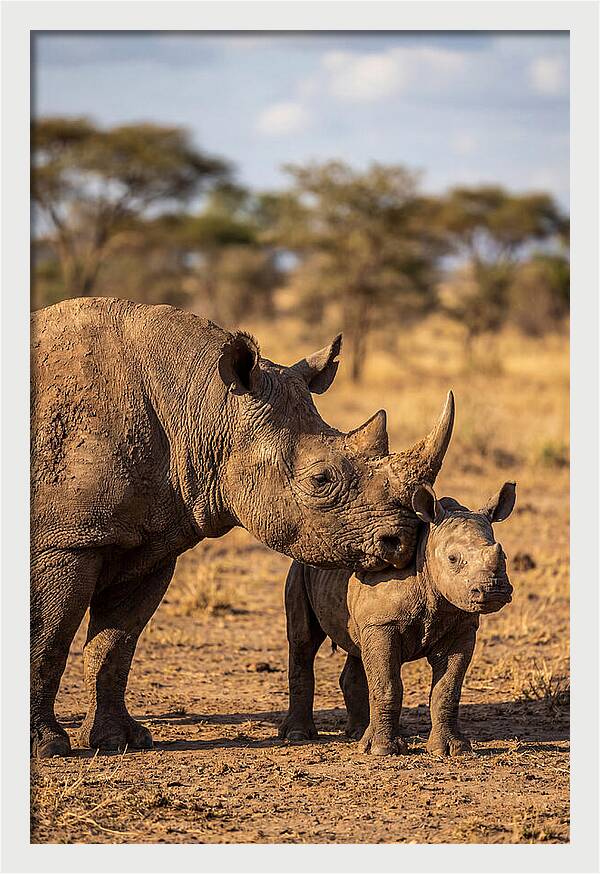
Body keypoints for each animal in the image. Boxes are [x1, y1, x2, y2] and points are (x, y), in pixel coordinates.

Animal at [30, 297, 453, 758]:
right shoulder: (66, 541)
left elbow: (115, 644)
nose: (403, 541)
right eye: (320, 480)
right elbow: (47, 636)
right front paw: (47, 746)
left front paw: (119, 741)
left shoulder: (151, 542)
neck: (204, 405)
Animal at [279, 480, 516, 756]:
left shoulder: (461, 627)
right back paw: (298, 735)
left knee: (357, 647)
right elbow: (388, 684)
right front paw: (383, 750)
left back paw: (358, 733)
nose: (494, 590)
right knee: (303, 641)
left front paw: (453, 749)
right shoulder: (383, 624)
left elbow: (448, 689)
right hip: (299, 568)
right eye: (453, 559)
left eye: (504, 556)